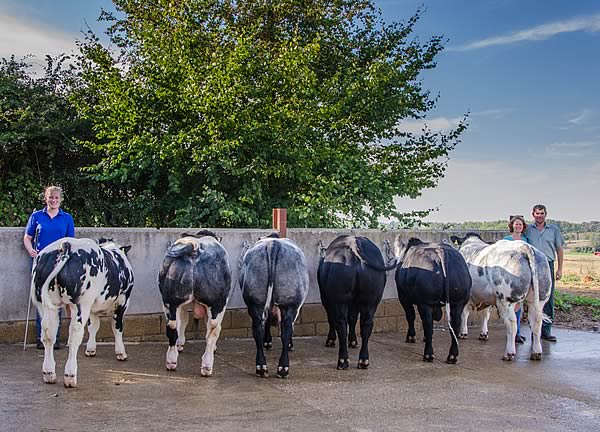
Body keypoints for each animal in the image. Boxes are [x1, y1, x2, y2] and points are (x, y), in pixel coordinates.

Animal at [31, 236, 134, 388]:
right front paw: (121, 353)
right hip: (80, 305)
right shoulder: (123, 301)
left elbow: (93, 326)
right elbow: (117, 327)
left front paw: (90, 349)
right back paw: (70, 376)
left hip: (46, 305)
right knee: (74, 336)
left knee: (48, 334)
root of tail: (66, 245)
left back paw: (49, 374)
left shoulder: (93, 308)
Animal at [157, 231, 232, 376]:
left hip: (170, 301)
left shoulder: (182, 306)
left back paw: (171, 361)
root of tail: (195, 246)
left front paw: (180, 344)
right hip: (219, 303)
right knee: (213, 329)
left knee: (173, 326)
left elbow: (184, 321)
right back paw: (207, 366)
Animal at [238, 233, 308, 378]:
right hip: (291, 303)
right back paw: (283, 368)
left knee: (258, 328)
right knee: (287, 328)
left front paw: (268, 341)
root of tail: (273, 244)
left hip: (254, 302)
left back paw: (261, 367)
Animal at [316, 235, 396, 370]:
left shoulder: (326, 298)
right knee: (366, 324)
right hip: (370, 300)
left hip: (340, 300)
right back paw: (363, 360)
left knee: (341, 323)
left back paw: (343, 361)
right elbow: (353, 319)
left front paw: (331, 340)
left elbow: (333, 318)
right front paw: (353, 341)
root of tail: (353, 242)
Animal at [450, 233, 552, 362]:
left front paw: (463, 333)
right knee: (536, 323)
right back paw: (536, 352)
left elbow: (465, 314)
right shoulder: (486, 297)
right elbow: (485, 315)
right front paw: (483, 334)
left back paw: (509, 353)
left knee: (512, 324)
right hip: (538, 300)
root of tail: (525, 248)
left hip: (505, 300)